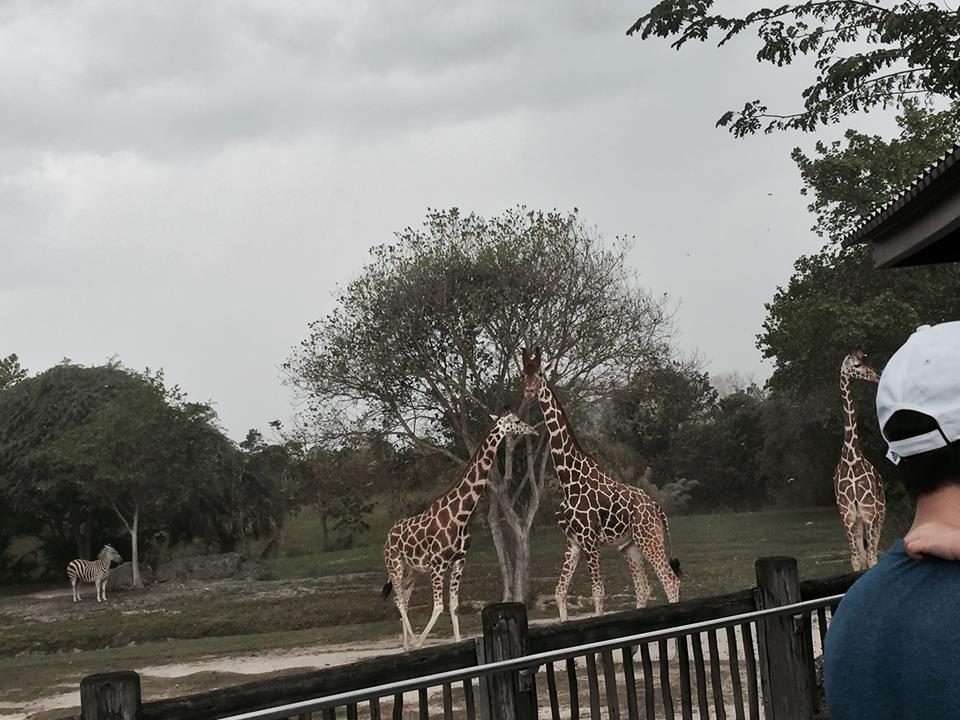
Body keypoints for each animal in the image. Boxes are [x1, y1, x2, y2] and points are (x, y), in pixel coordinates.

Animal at [382, 411, 537, 650]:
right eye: (517, 421)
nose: (534, 430)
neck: (461, 515)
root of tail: (388, 538)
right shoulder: (437, 564)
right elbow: (438, 606)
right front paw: (420, 643)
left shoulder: (458, 562)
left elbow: (453, 605)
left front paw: (455, 641)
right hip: (395, 564)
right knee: (398, 598)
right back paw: (413, 642)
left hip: (412, 569)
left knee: (405, 598)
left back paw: (406, 644)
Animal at [520, 347, 680, 621]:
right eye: (524, 373)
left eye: (540, 373)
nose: (529, 392)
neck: (568, 481)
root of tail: (656, 507)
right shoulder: (573, 541)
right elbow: (559, 592)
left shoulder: (590, 540)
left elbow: (598, 593)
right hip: (630, 545)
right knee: (643, 587)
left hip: (649, 537)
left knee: (670, 581)